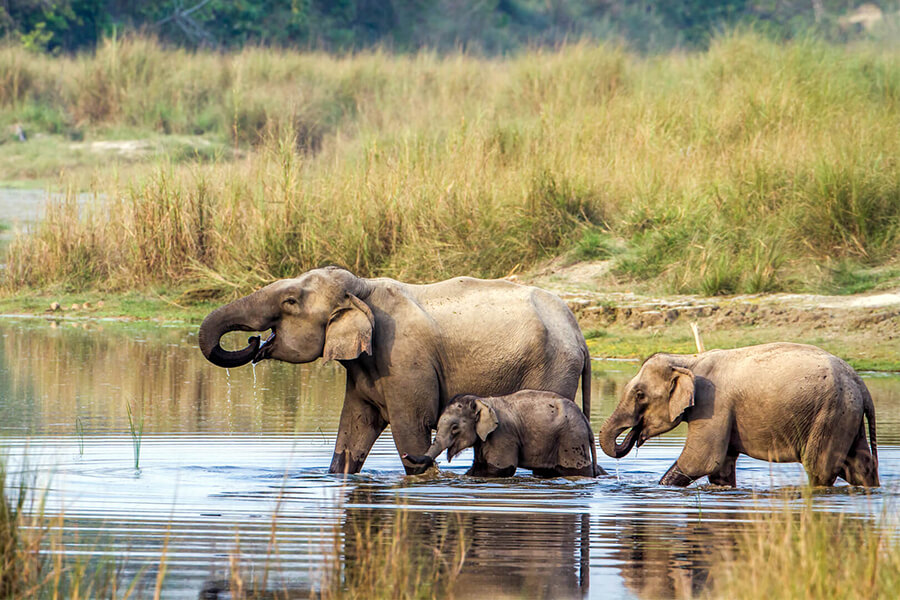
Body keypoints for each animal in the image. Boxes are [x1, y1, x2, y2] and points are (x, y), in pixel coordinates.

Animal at [198, 268, 592, 474]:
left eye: (290, 302)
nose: (254, 341)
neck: (363, 289)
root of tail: (579, 334)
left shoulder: (404, 361)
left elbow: (410, 431)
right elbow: (353, 431)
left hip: (553, 368)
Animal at [402, 394, 604, 478]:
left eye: (454, 428)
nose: (404, 454)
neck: (481, 401)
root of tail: (585, 421)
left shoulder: (503, 435)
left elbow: (500, 470)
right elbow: (478, 468)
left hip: (572, 440)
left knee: (574, 471)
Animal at [596, 342, 880, 488]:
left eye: (640, 395)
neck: (689, 360)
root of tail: (861, 384)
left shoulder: (713, 405)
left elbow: (700, 461)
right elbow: (720, 469)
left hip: (830, 414)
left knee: (819, 469)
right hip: (846, 416)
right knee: (859, 466)